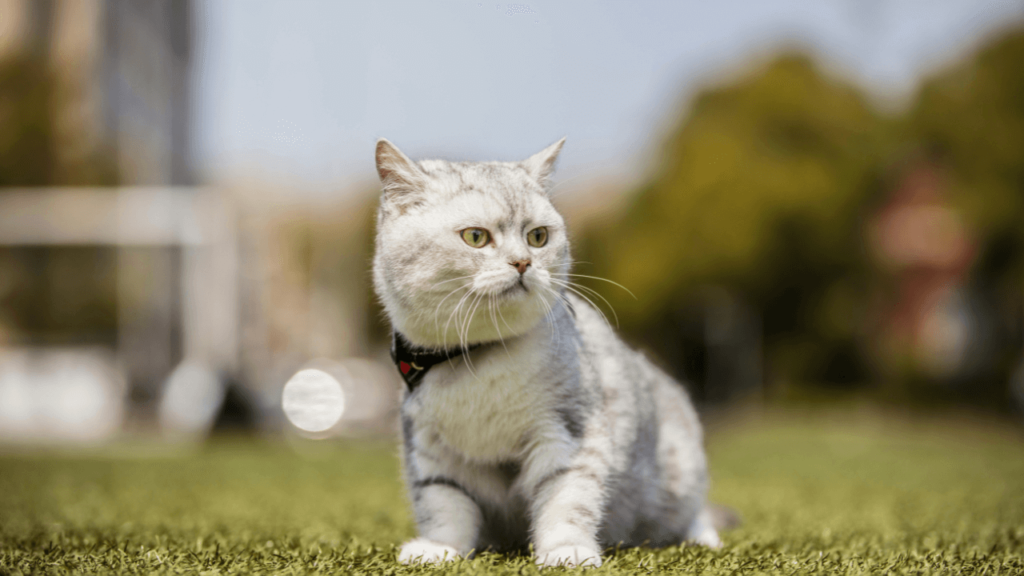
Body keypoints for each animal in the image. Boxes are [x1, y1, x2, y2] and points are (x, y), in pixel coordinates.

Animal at [370, 138, 720, 565]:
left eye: (538, 237)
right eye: (475, 237)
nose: (523, 262)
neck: (477, 358)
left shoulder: (567, 431)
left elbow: (565, 497)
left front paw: (567, 550)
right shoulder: (429, 447)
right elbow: (443, 503)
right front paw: (439, 549)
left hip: (679, 473)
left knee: (693, 512)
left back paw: (704, 538)